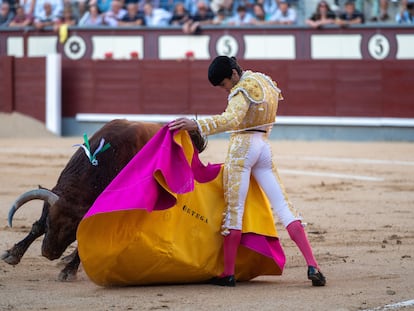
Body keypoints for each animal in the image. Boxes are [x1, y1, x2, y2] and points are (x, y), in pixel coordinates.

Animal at [1, 119, 205, 280]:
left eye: (72, 230)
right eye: (50, 223)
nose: (48, 253)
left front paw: (69, 271)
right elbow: (37, 226)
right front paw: (12, 254)